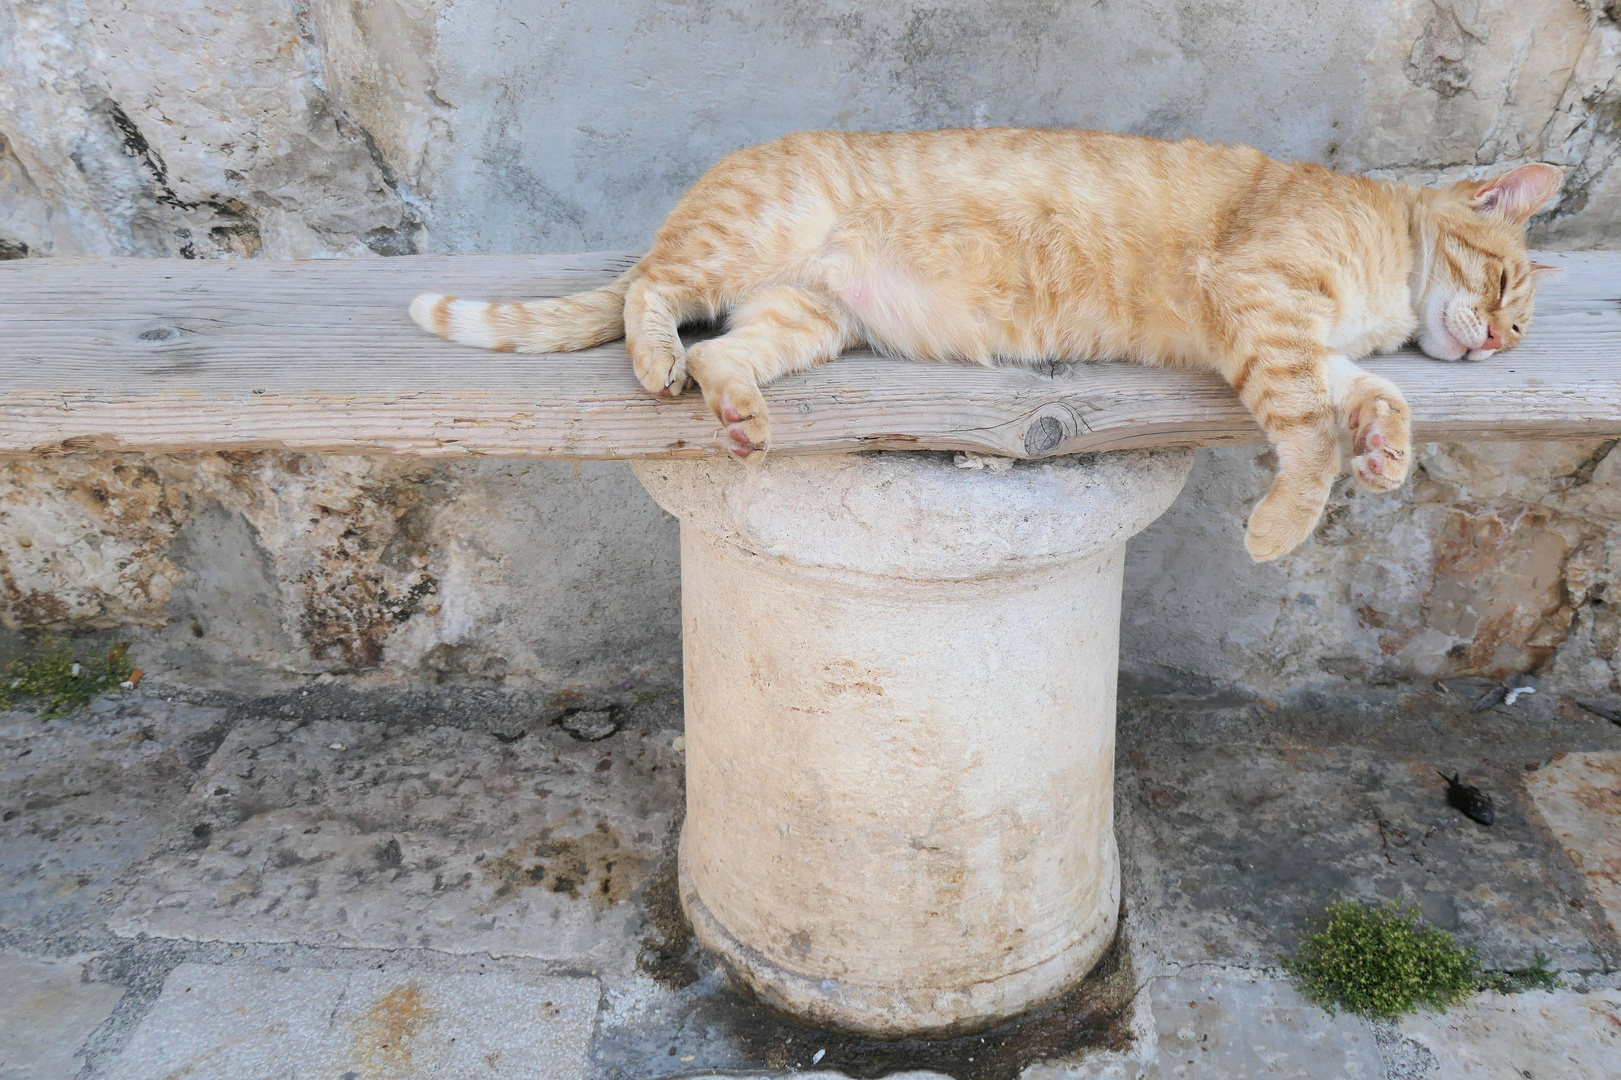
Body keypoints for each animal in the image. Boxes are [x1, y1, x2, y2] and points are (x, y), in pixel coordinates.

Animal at [411, 130, 1562, 557]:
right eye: (1506, 288)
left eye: (1515, 324)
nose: (1498, 348)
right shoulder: (1261, 302)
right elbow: (1308, 436)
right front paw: (1284, 524)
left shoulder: (1304, 341)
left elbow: (1370, 396)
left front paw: (1387, 450)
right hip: (738, 243)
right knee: (652, 298)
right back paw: (655, 357)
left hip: (806, 318)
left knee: (720, 356)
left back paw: (738, 418)